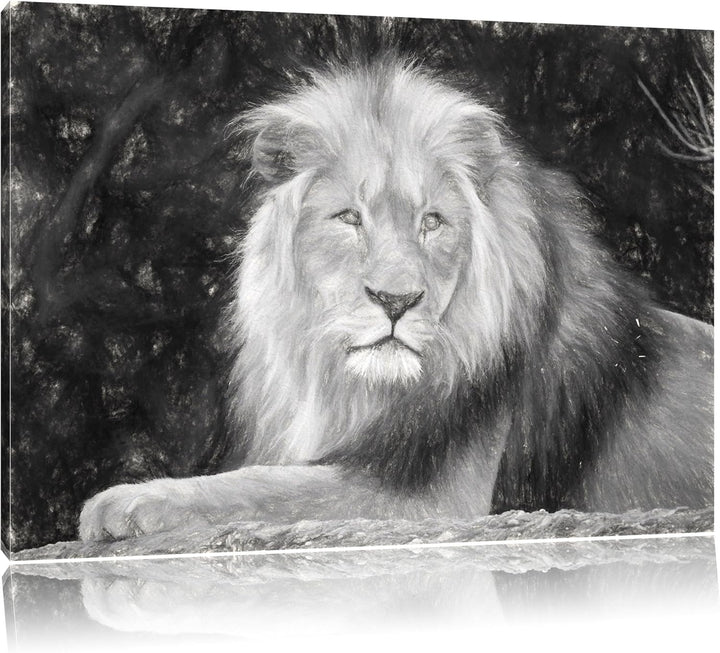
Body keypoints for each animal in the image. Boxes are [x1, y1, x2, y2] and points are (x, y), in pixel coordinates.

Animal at [79, 58, 713, 542]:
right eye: (348, 218)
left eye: (432, 222)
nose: (396, 300)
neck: (354, 389)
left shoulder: (434, 500)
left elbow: (264, 484)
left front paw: (127, 501)